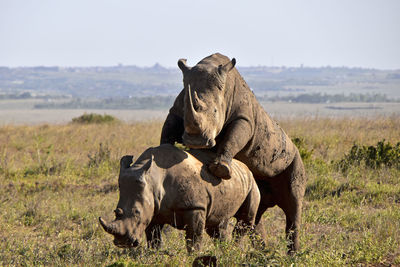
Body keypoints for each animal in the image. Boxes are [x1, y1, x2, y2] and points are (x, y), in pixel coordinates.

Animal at [97, 144, 260, 253]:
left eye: (137, 213)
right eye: (115, 212)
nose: (122, 243)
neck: (153, 179)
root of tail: (246, 168)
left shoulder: (195, 207)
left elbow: (194, 239)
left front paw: (194, 257)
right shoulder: (153, 209)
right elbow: (154, 239)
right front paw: (155, 255)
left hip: (252, 183)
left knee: (245, 221)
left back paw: (236, 250)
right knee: (217, 225)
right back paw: (226, 251)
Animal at [161, 52, 308, 253]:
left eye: (216, 112)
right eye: (187, 111)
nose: (196, 141)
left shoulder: (244, 117)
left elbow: (235, 137)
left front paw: (221, 169)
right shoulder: (177, 107)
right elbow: (168, 127)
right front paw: (164, 151)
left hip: (294, 158)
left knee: (293, 205)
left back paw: (293, 255)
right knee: (257, 212)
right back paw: (263, 252)